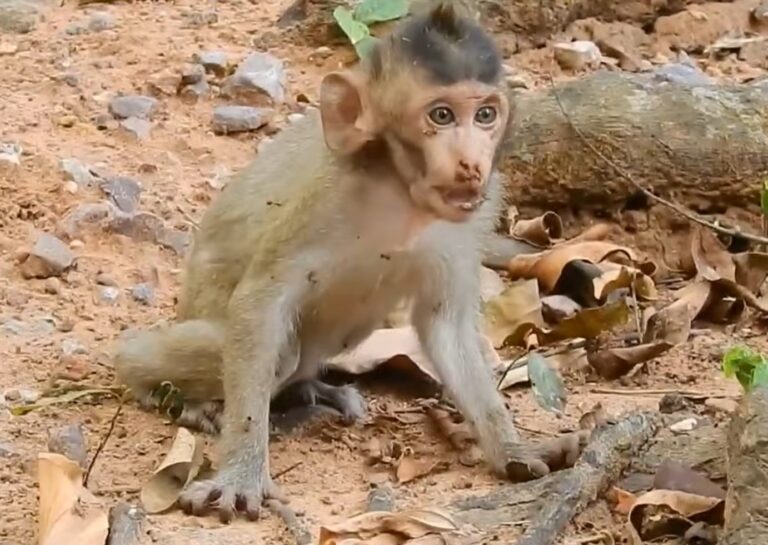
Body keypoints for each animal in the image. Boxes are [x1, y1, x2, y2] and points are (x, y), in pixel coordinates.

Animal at [113, 0, 582, 523]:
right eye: (441, 115)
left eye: (485, 115)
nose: (469, 163)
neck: (401, 193)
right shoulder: (325, 199)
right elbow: (261, 301)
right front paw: (241, 473)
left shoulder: (473, 216)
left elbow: (447, 326)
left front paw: (513, 449)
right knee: (265, 350)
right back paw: (151, 378)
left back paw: (311, 390)